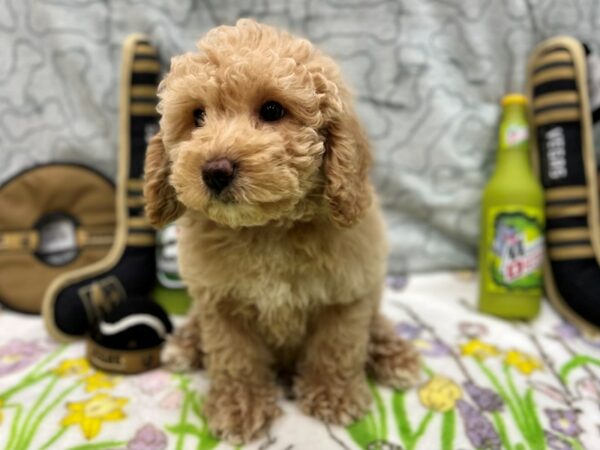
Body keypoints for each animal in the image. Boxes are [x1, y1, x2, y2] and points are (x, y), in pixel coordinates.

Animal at [143, 18, 420, 442]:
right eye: (197, 117)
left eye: (272, 110)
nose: (215, 170)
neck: (268, 229)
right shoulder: (221, 302)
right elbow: (234, 356)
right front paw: (240, 406)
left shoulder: (346, 294)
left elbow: (337, 346)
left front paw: (333, 395)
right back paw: (186, 344)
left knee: (376, 323)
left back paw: (395, 355)